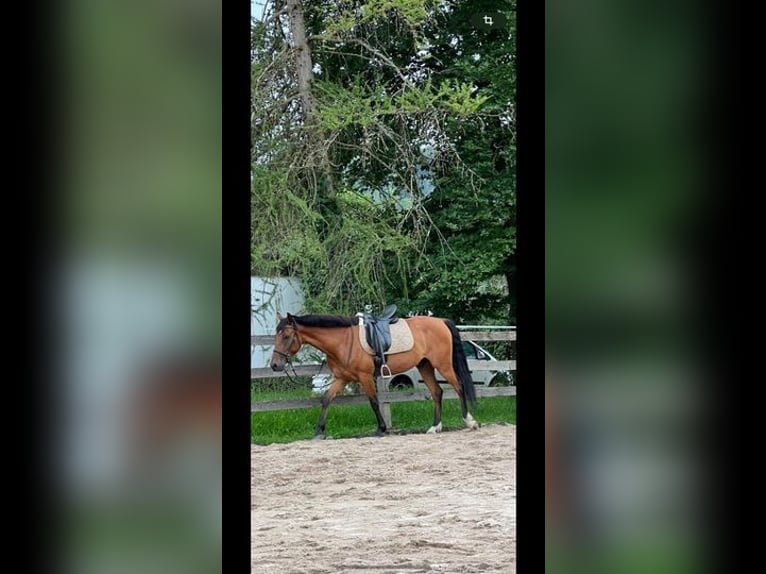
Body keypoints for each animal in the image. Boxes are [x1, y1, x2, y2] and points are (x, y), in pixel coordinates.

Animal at [268, 312, 476, 438]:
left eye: (286, 336)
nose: (275, 365)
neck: (343, 342)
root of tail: (441, 321)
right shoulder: (342, 378)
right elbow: (326, 399)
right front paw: (319, 431)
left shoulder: (365, 377)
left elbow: (374, 402)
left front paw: (381, 428)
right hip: (425, 366)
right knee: (437, 392)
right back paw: (435, 427)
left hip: (443, 365)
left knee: (459, 387)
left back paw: (469, 421)